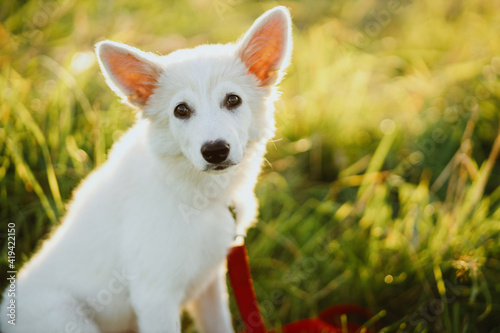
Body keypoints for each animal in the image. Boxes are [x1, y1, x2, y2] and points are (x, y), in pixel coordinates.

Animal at [0, 5, 290, 332]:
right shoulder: (155, 296)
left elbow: (219, 325)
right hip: (68, 317)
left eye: (233, 100)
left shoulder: (209, 284)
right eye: (181, 110)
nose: (215, 151)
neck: (193, 194)